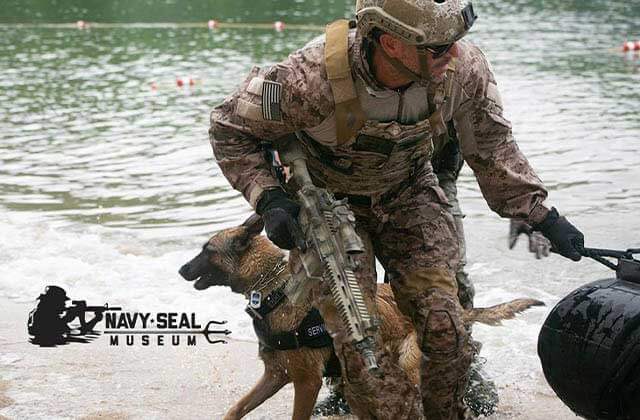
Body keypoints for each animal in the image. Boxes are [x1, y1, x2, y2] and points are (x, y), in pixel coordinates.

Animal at [180, 215, 544, 418]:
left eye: (207, 250)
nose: (181, 269)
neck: (274, 288)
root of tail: (459, 309)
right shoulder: (275, 375)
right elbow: (236, 409)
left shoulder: (306, 382)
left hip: (407, 363)